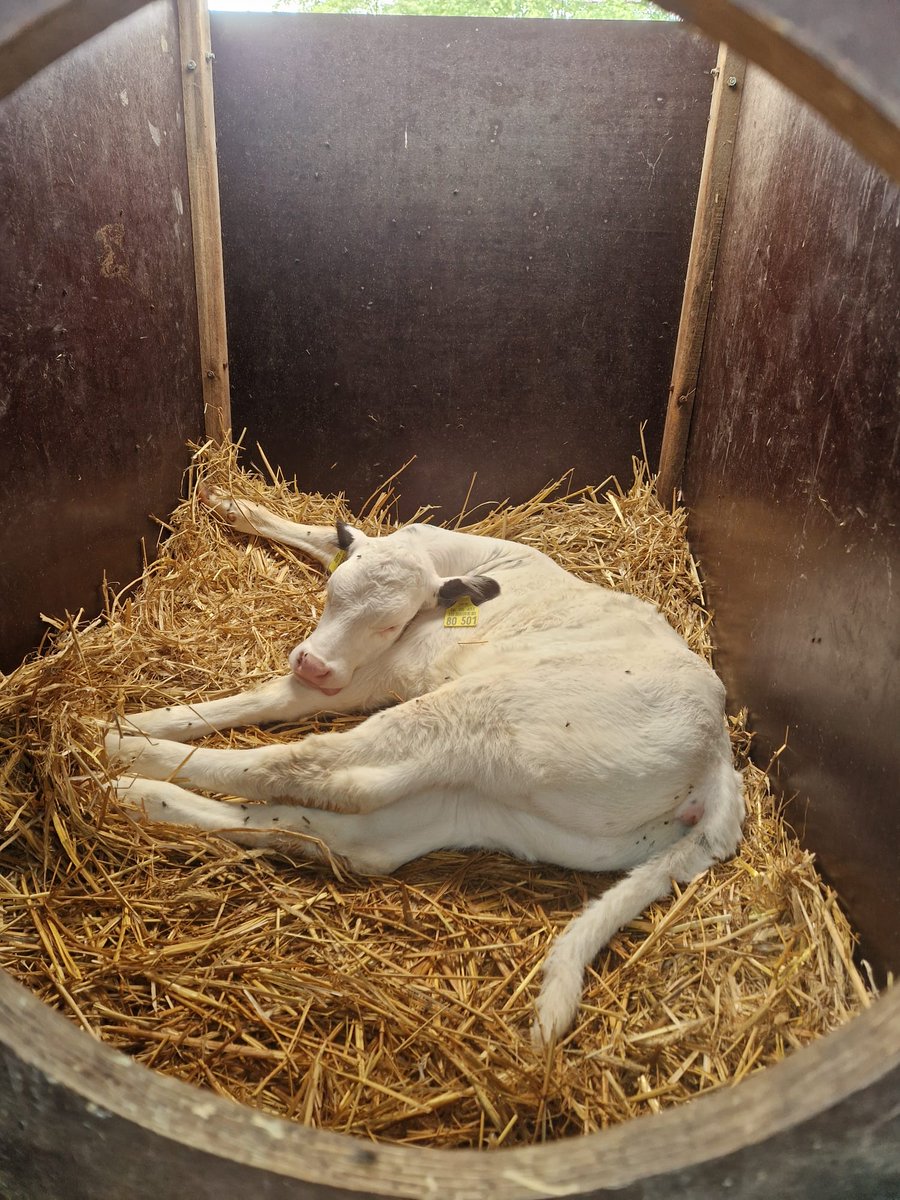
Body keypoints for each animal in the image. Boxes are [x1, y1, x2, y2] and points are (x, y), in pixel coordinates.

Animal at [105, 486, 745, 1045]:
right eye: (332, 594)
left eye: (390, 622)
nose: (312, 662)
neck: (461, 560)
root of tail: (717, 757)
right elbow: (323, 532)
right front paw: (230, 502)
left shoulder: (366, 676)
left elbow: (268, 698)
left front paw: (136, 723)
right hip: (495, 807)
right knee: (356, 840)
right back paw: (141, 795)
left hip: (480, 713)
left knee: (316, 771)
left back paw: (124, 755)